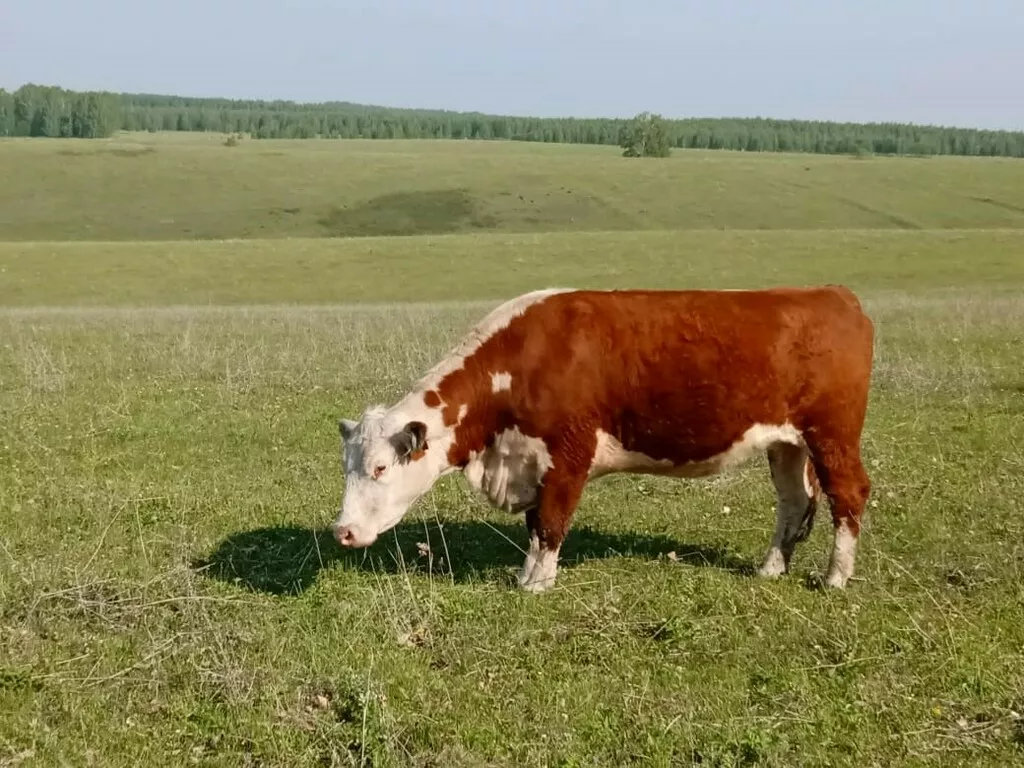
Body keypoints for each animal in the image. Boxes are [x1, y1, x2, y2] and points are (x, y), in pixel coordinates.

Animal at [331, 288, 876, 593]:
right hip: (788, 443)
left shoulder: (568, 457)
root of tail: (833, 294)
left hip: (832, 435)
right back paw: (771, 568)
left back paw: (836, 577)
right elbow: (536, 524)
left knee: (848, 495)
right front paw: (530, 576)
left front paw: (536, 584)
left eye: (381, 467)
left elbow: (550, 524)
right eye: (347, 466)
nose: (343, 531)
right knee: (793, 501)